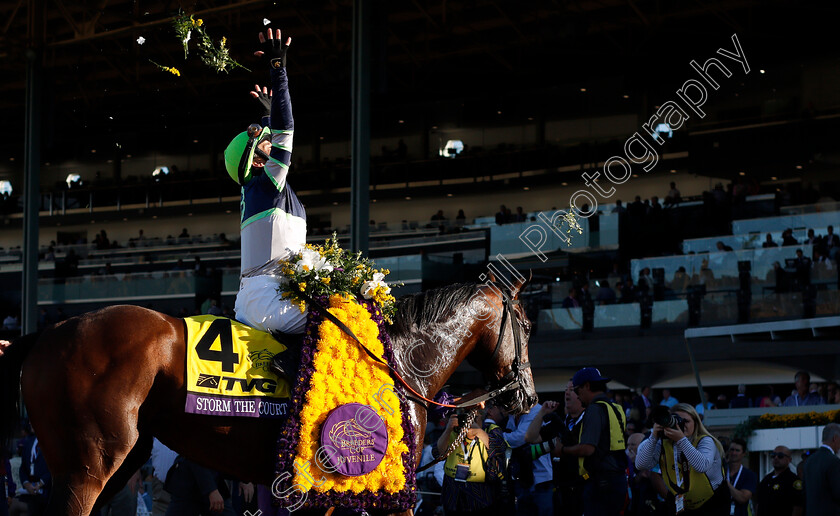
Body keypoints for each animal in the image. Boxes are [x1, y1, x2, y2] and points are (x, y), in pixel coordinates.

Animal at [0, 280, 536, 512]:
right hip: (88, 465)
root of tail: (51, 330)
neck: (400, 360)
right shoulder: (388, 491)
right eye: (528, 326)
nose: (526, 395)